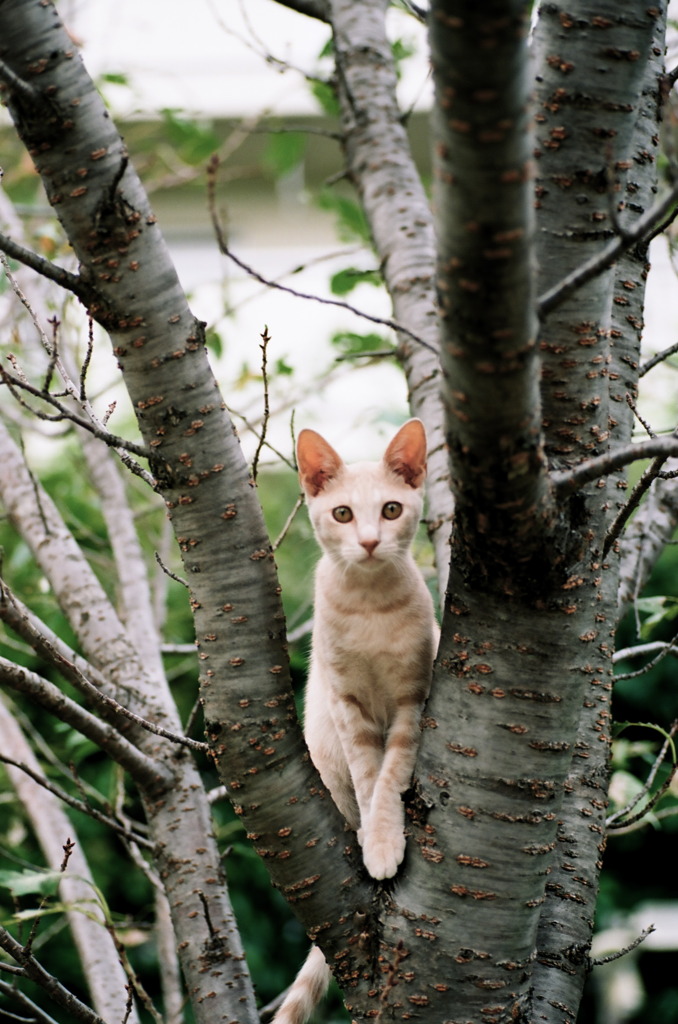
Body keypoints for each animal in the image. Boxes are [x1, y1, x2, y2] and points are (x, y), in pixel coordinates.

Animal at [274, 415, 438, 1024]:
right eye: (343, 514)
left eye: (390, 510)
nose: (368, 541)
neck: (370, 608)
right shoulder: (345, 703)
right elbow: (369, 777)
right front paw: (375, 837)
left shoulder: (414, 700)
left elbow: (390, 773)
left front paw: (386, 838)